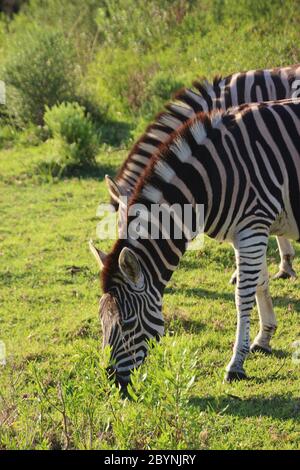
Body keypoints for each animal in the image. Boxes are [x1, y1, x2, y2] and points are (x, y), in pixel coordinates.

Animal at [91, 98, 300, 386]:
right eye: (101, 320)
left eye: (128, 323)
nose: (112, 382)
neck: (213, 178)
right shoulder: (246, 233)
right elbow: (260, 282)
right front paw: (264, 337)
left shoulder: (253, 227)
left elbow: (242, 296)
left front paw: (236, 364)